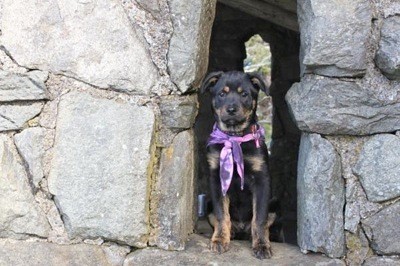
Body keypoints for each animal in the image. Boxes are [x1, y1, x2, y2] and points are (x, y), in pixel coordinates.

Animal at [202, 70, 274, 260]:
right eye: (222, 94)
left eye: (244, 94)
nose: (231, 110)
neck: (234, 137)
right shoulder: (217, 178)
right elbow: (221, 214)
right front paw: (220, 240)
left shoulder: (262, 180)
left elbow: (260, 218)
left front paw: (262, 245)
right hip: (208, 205)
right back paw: (231, 232)